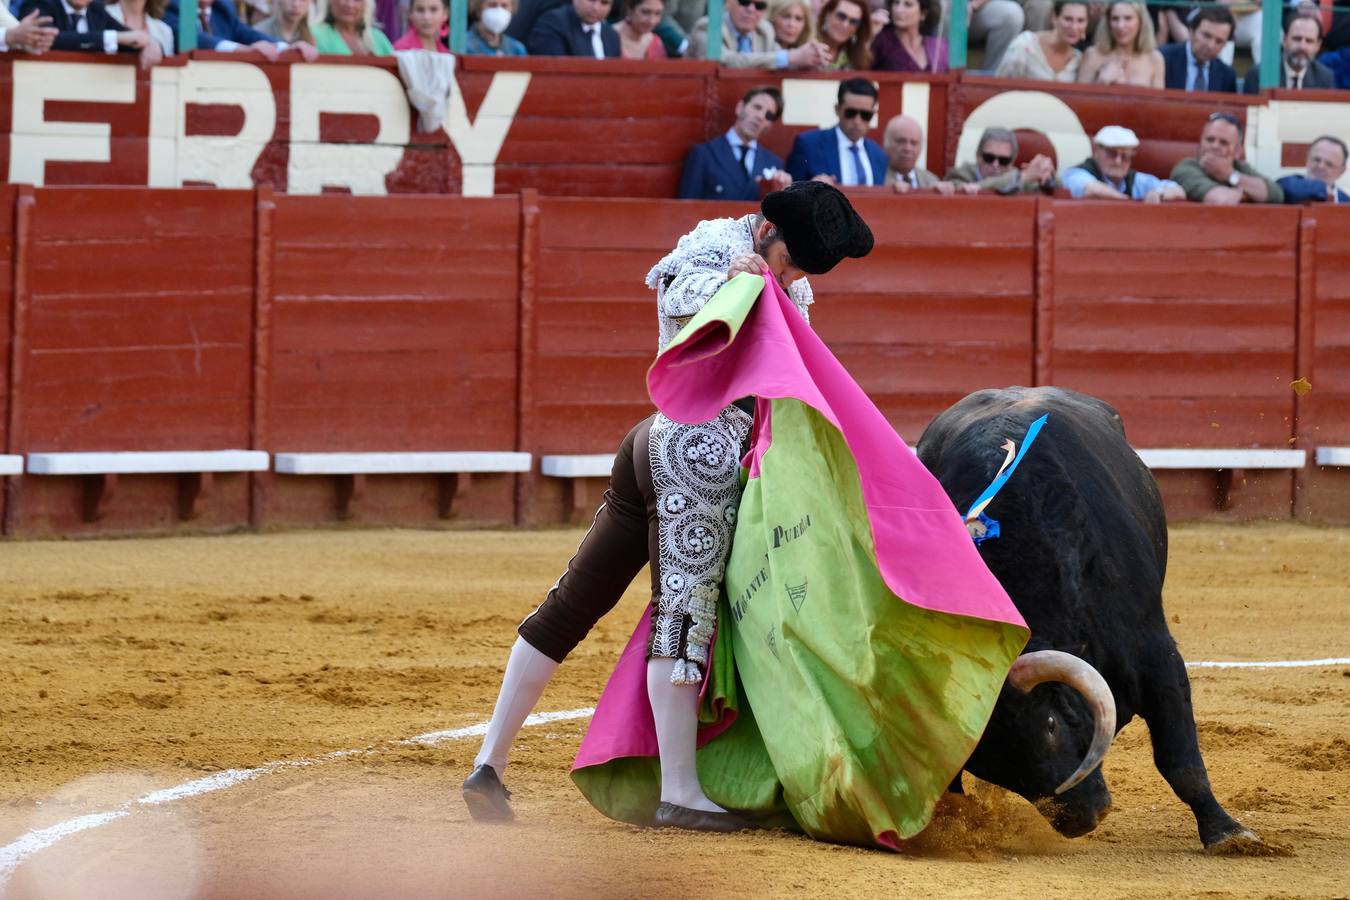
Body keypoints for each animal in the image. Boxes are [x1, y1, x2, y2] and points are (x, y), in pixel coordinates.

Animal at [918, 385, 1252, 852]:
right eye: (987, 762)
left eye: (1051, 725)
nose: (1080, 818)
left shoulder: (1157, 655)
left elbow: (1180, 760)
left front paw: (1227, 832)